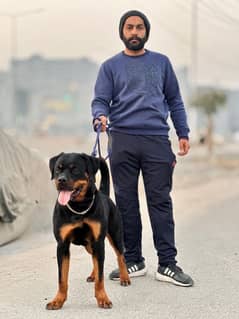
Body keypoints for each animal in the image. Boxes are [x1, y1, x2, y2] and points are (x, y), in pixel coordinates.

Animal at [46, 152, 131, 310]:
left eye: (75, 169)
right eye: (58, 169)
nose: (61, 180)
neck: (79, 208)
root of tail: (105, 195)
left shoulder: (98, 242)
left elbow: (101, 277)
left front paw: (102, 298)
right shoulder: (62, 245)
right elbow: (62, 278)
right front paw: (58, 300)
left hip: (114, 235)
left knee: (120, 256)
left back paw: (124, 277)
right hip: (89, 245)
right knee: (94, 259)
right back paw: (93, 274)